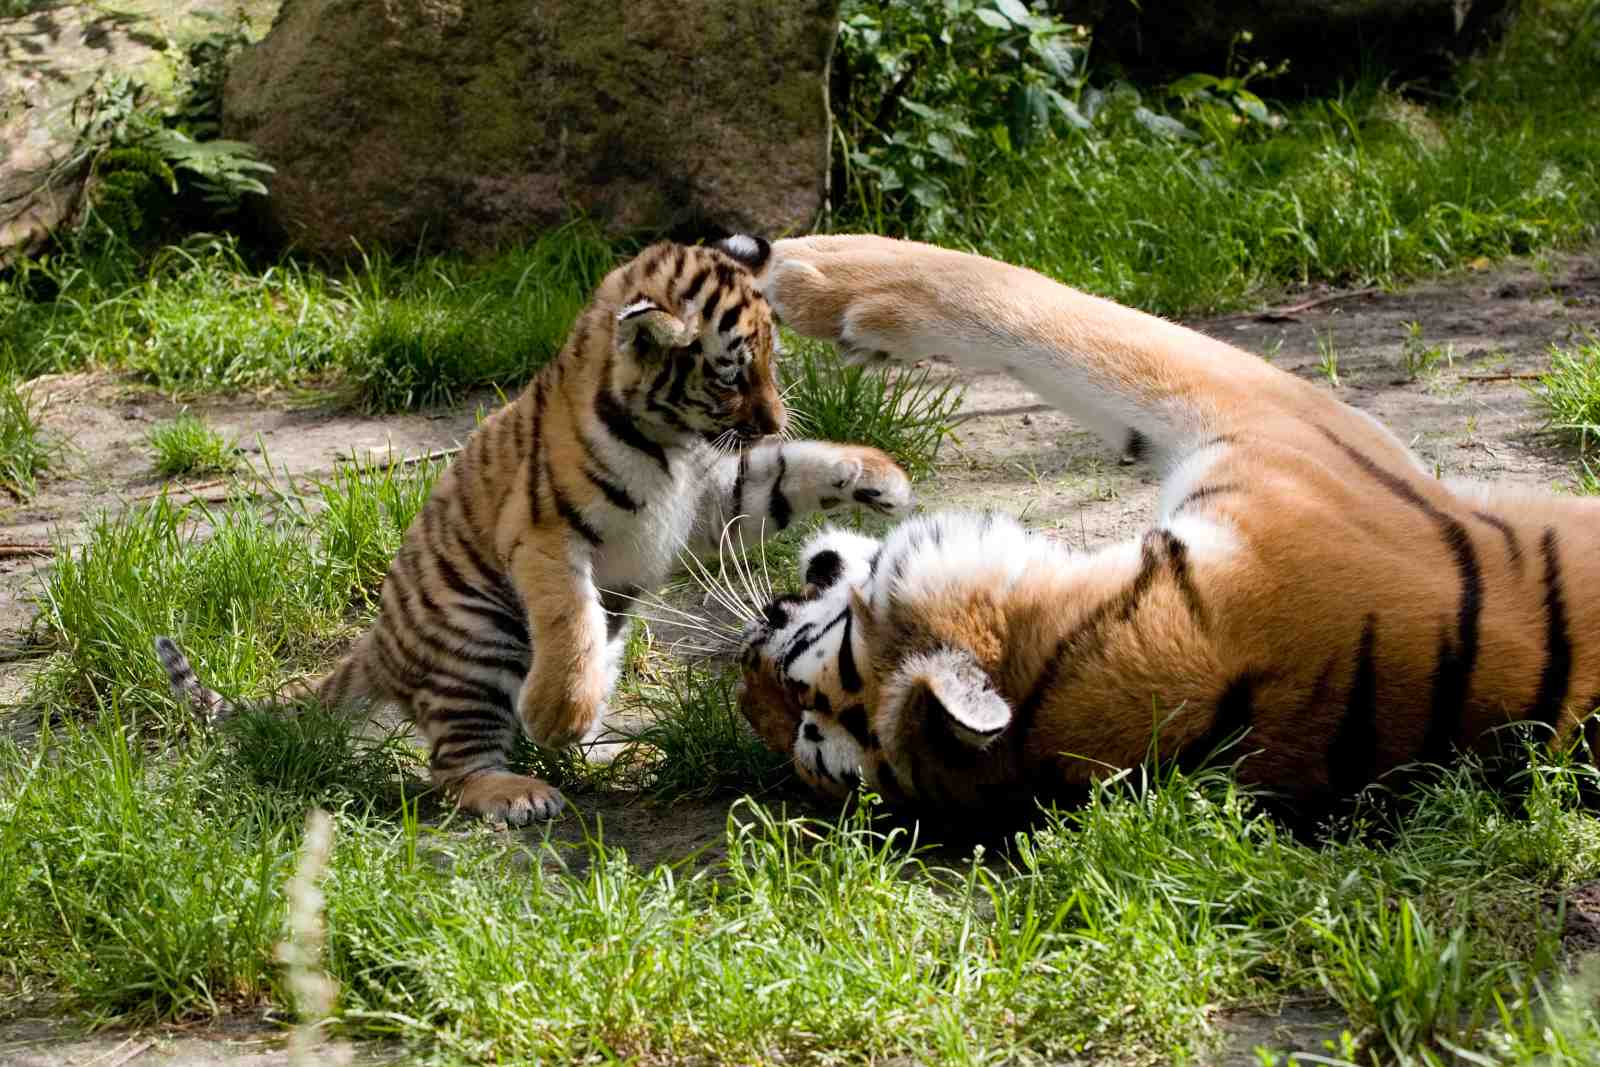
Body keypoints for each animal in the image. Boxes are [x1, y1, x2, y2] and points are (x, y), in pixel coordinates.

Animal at [155, 235, 912, 825]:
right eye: (730, 377)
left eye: (773, 362)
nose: (776, 419)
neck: (668, 440)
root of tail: (377, 644)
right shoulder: (546, 535)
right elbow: (569, 619)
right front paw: (557, 712)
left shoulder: (713, 497)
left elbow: (787, 470)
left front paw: (881, 476)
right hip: (476, 642)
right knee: (453, 765)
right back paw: (518, 788)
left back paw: (614, 748)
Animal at [733, 233, 1600, 826]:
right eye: (796, 722)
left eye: (799, 680)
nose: (755, 630)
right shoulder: (1284, 427)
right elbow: (1054, 315)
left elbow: (1046, 311)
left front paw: (794, 267)